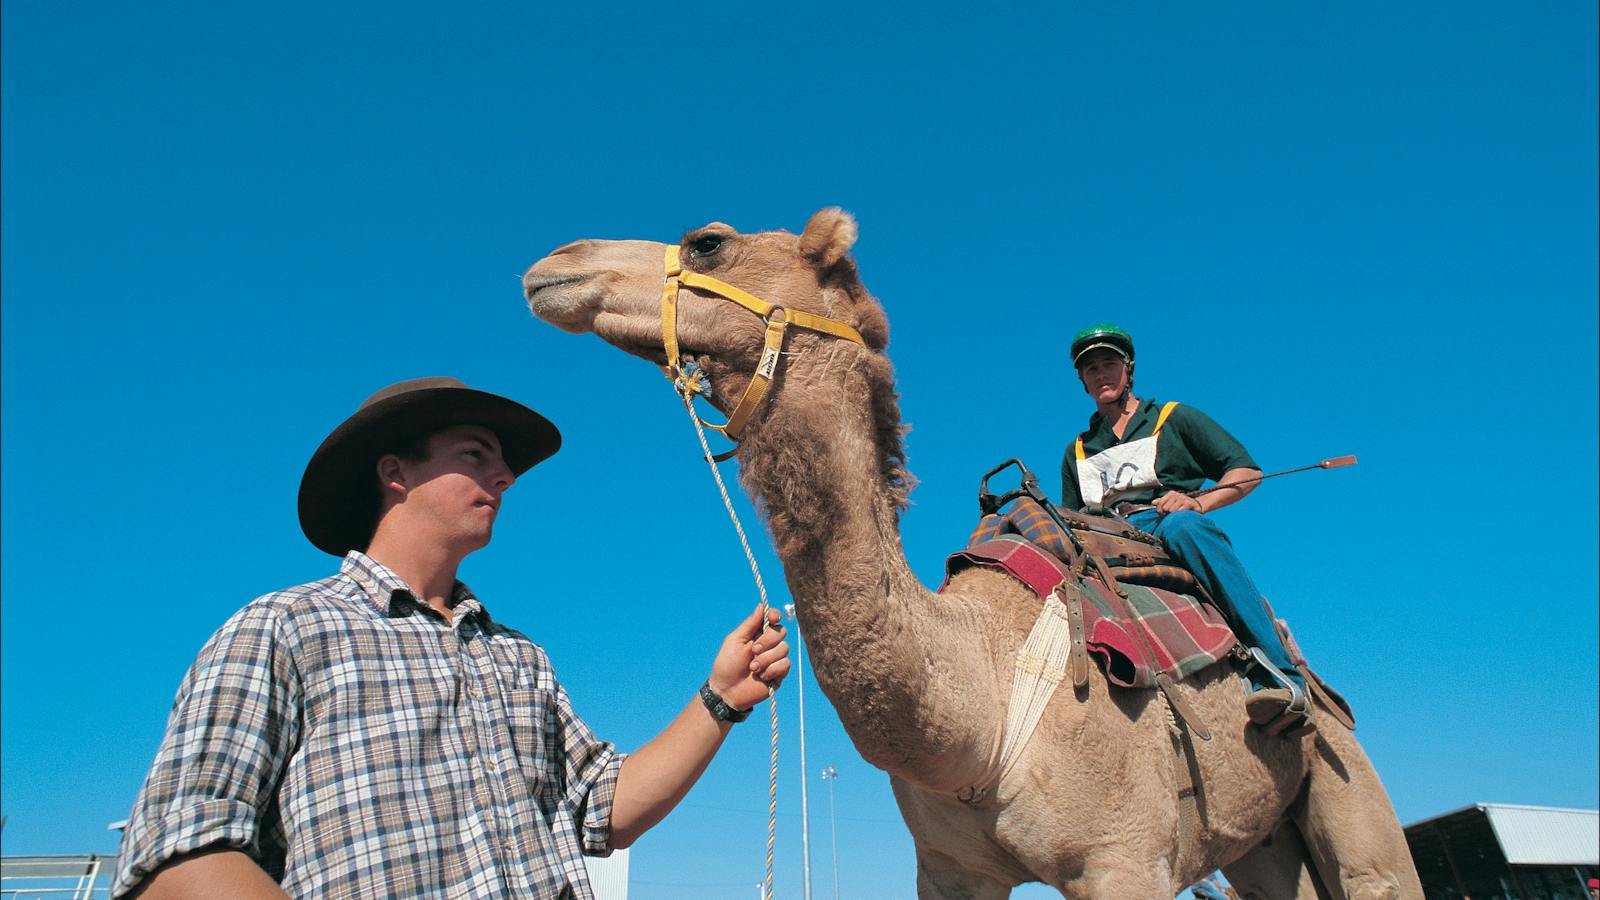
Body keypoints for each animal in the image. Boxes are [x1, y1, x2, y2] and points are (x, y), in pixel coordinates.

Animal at [522, 209, 1423, 899]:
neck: (978, 699)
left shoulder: (1125, 859)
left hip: (1346, 778)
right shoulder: (952, 871)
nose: (554, 262)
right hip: (1263, 839)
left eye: (709, 241)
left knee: (1374, 867)